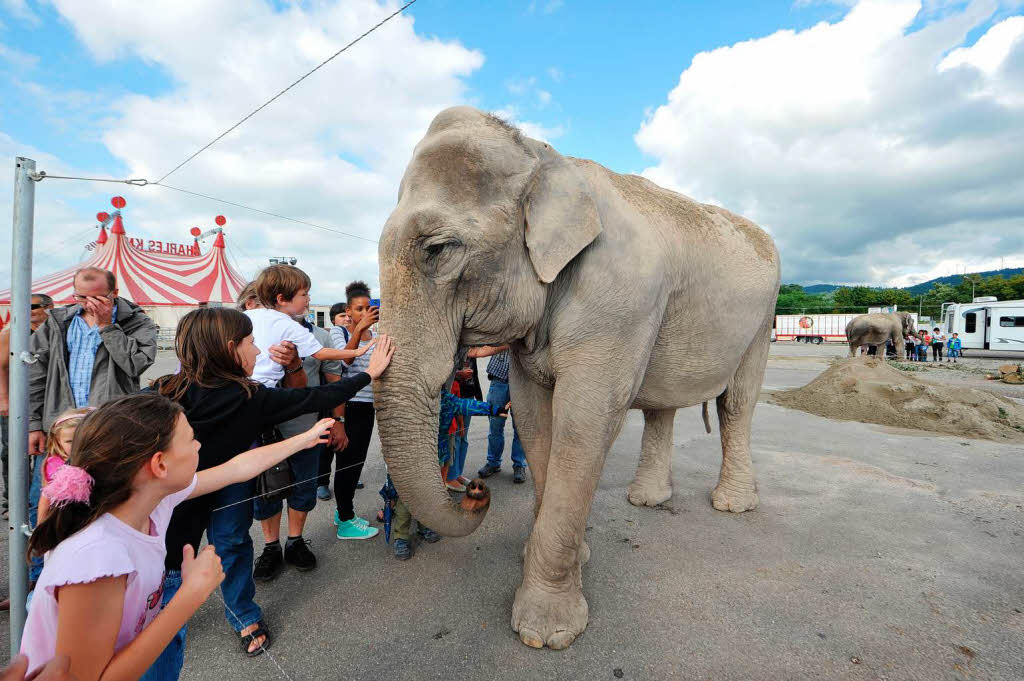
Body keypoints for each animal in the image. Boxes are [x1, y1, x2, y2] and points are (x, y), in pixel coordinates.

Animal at [376, 106, 782, 647]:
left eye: (437, 249)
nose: (476, 491)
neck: (543, 156)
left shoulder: (618, 302)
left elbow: (583, 423)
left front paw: (546, 633)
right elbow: (533, 416)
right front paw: (569, 560)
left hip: (762, 320)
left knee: (735, 403)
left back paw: (732, 506)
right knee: (662, 407)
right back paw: (649, 500)